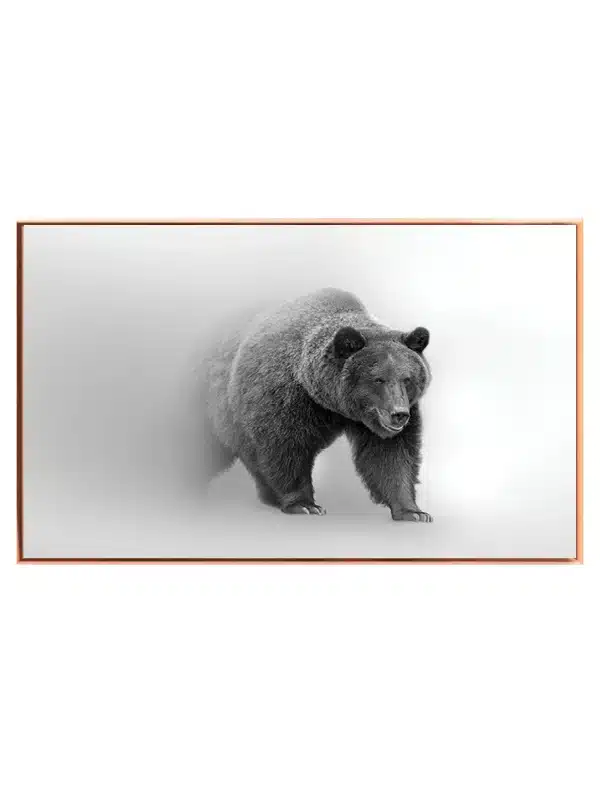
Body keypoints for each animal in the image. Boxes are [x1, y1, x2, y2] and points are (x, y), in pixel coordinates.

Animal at [201, 287, 432, 522]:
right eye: (378, 379)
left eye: (407, 379)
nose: (399, 414)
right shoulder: (284, 398)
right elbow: (285, 448)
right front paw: (305, 505)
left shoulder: (382, 418)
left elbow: (391, 455)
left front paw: (413, 511)